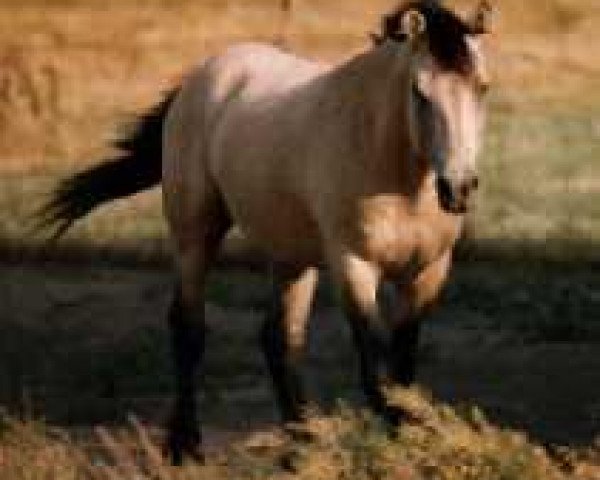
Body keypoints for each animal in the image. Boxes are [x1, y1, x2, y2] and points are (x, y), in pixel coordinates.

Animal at [39, 0, 494, 464]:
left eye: (482, 88)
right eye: (420, 93)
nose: (458, 188)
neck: (397, 172)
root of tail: (201, 76)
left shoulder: (428, 271)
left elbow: (402, 368)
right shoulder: (354, 264)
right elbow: (374, 364)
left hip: (292, 256)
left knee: (281, 339)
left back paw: (301, 447)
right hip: (195, 234)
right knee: (188, 328)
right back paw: (185, 445)